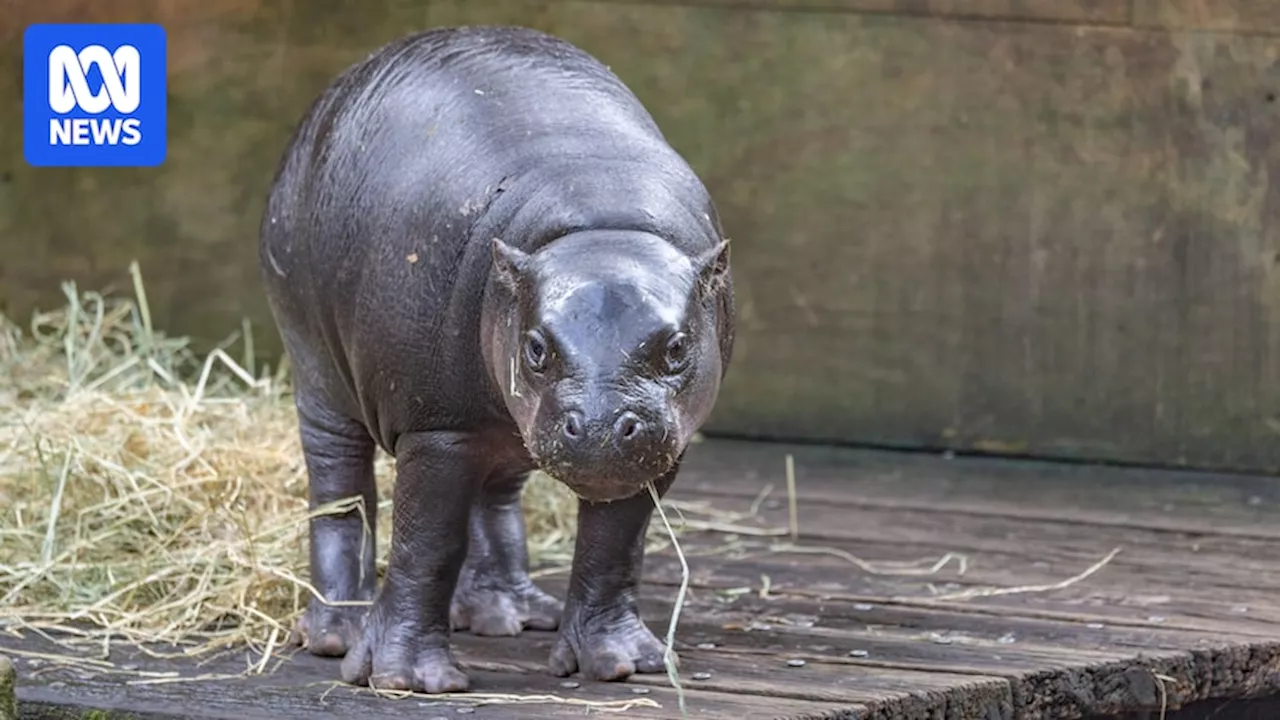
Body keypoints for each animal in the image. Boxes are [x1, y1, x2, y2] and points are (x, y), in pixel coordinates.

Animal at [257, 25, 742, 691]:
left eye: (675, 347)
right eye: (536, 347)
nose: (599, 425)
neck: (600, 228)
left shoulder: (659, 449)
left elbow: (614, 545)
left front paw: (622, 663)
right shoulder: (438, 429)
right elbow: (427, 543)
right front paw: (408, 679)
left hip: (503, 425)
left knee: (495, 499)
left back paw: (505, 615)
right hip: (319, 372)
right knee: (339, 490)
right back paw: (337, 633)